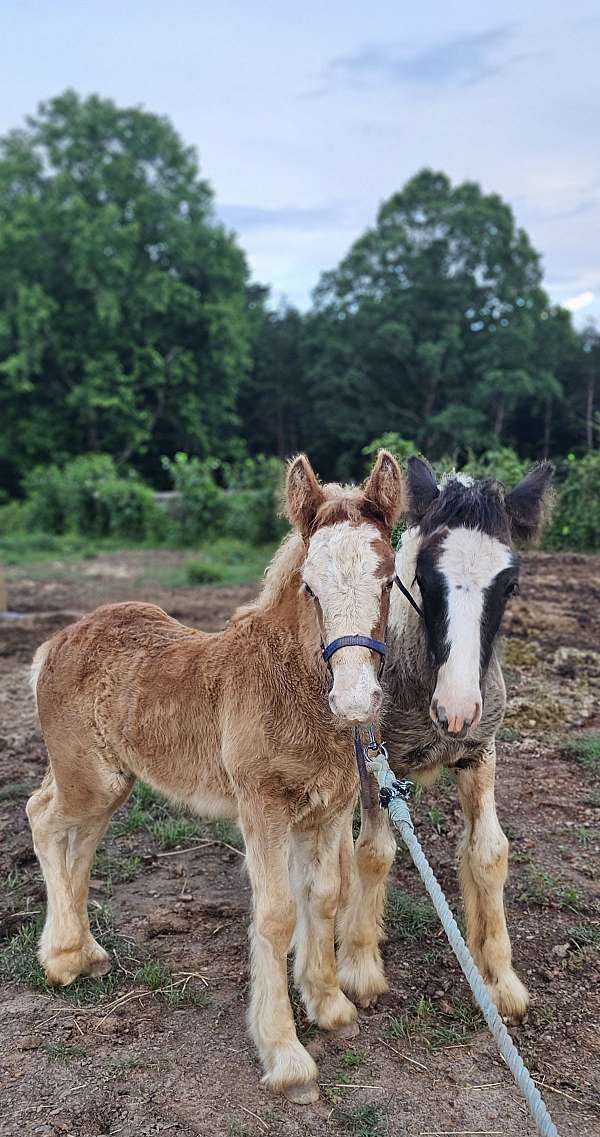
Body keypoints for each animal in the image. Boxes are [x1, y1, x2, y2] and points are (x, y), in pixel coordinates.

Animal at [26, 449, 403, 1103]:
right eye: (311, 586)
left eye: (387, 580)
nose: (355, 701)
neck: (291, 689)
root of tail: (58, 641)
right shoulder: (263, 808)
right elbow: (276, 914)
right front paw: (286, 1055)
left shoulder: (328, 808)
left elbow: (326, 897)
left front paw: (330, 1005)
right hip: (87, 777)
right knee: (44, 819)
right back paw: (63, 957)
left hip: (112, 781)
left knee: (80, 840)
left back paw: (85, 952)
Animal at [337, 457, 553, 1024]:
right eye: (423, 579)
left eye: (510, 585)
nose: (455, 711)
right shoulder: (372, 758)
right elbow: (373, 852)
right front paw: (360, 969)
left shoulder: (479, 754)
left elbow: (489, 852)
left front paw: (500, 980)